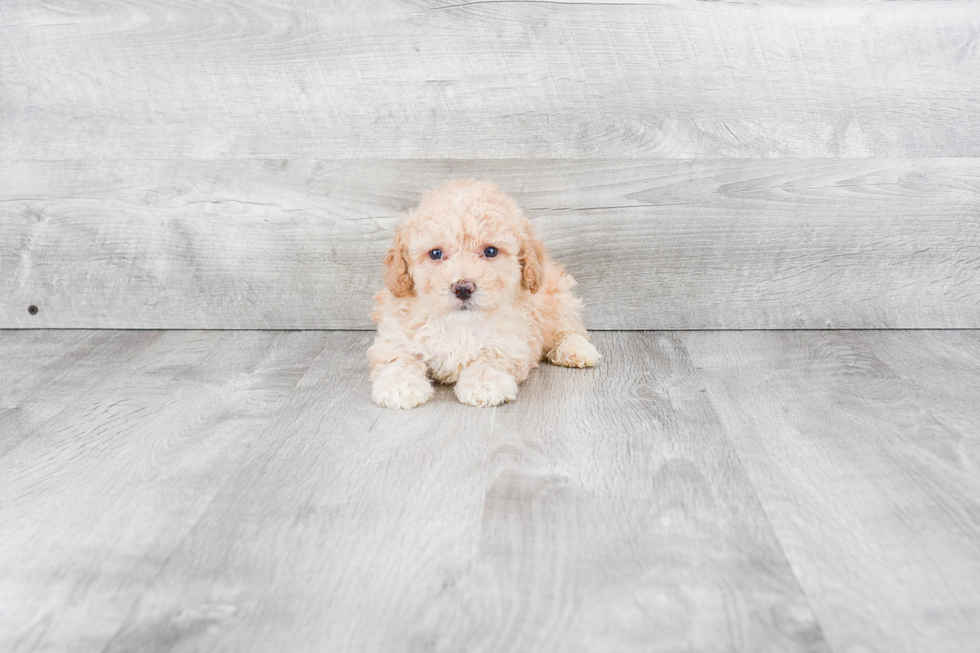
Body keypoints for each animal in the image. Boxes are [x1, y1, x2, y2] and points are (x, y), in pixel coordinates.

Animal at [368, 180, 596, 408]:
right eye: (435, 253)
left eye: (491, 251)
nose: (463, 288)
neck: (460, 323)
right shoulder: (395, 335)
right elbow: (401, 358)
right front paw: (399, 386)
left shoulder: (510, 342)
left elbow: (489, 359)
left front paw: (484, 384)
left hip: (557, 298)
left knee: (568, 329)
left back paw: (577, 350)